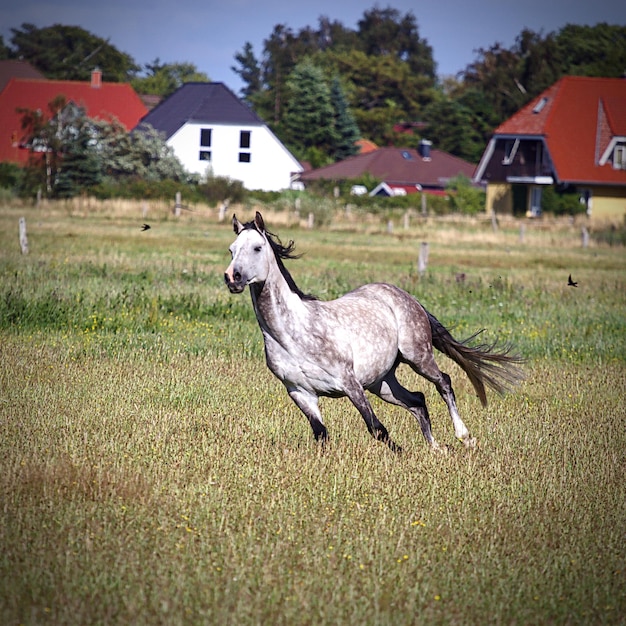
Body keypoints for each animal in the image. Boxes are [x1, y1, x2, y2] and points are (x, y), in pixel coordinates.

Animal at [224, 211, 520, 448]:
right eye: (231, 249)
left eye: (257, 248)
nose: (232, 277)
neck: (292, 333)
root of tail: (405, 296)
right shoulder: (300, 392)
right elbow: (321, 434)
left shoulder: (350, 383)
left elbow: (377, 428)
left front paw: (400, 456)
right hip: (382, 382)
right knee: (417, 401)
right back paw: (436, 448)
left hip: (417, 357)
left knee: (443, 382)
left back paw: (464, 437)